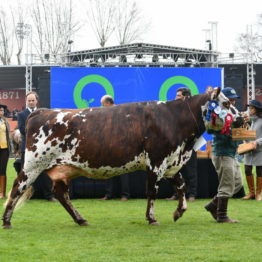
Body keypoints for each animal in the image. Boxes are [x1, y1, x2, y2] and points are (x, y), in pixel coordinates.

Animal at [2, 87, 239, 228]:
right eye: (226, 103)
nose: (239, 119)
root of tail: (41, 111)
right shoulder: (156, 162)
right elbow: (151, 191)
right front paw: (152, 218)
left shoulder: (171, 162)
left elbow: (181, 186)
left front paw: (178, 212)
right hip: (33, 164)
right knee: (17, 187)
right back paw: (6, 221)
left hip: (62, 169)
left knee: (61, 195)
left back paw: (81, 219)